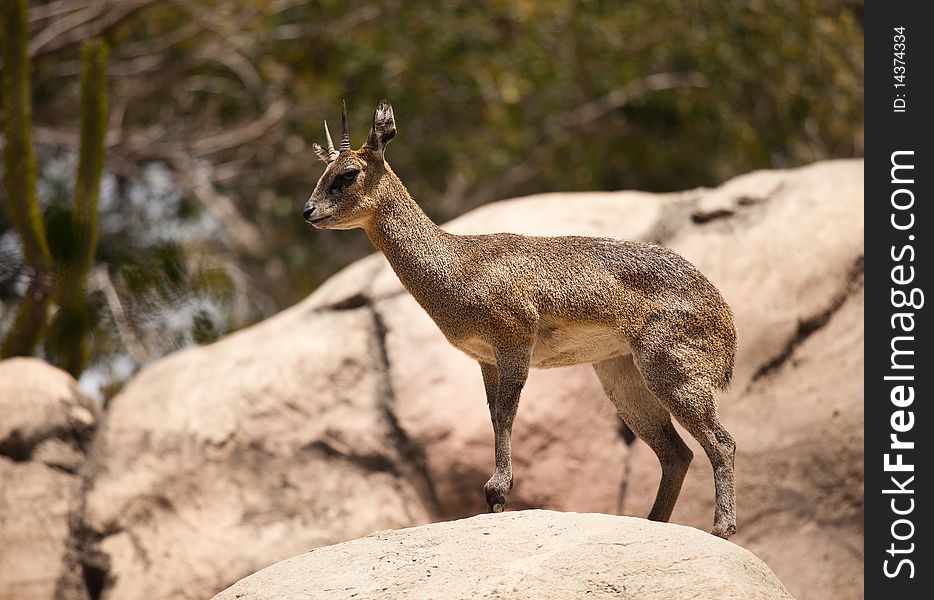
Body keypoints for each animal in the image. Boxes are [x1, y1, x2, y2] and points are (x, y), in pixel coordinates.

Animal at [304, 99, 744, 540]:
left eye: (348, 173)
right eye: (322, 171)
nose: (308, 211)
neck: (459, 267)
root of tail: (727, 324)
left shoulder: (514, 340)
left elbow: (505, 412)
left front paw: (497, 492)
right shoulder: (485, 358)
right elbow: (493, 414)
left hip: (673, 369)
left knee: (722, 442)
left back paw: (721, 527)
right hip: (622, 374)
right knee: (676, 453)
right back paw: (654, 522)